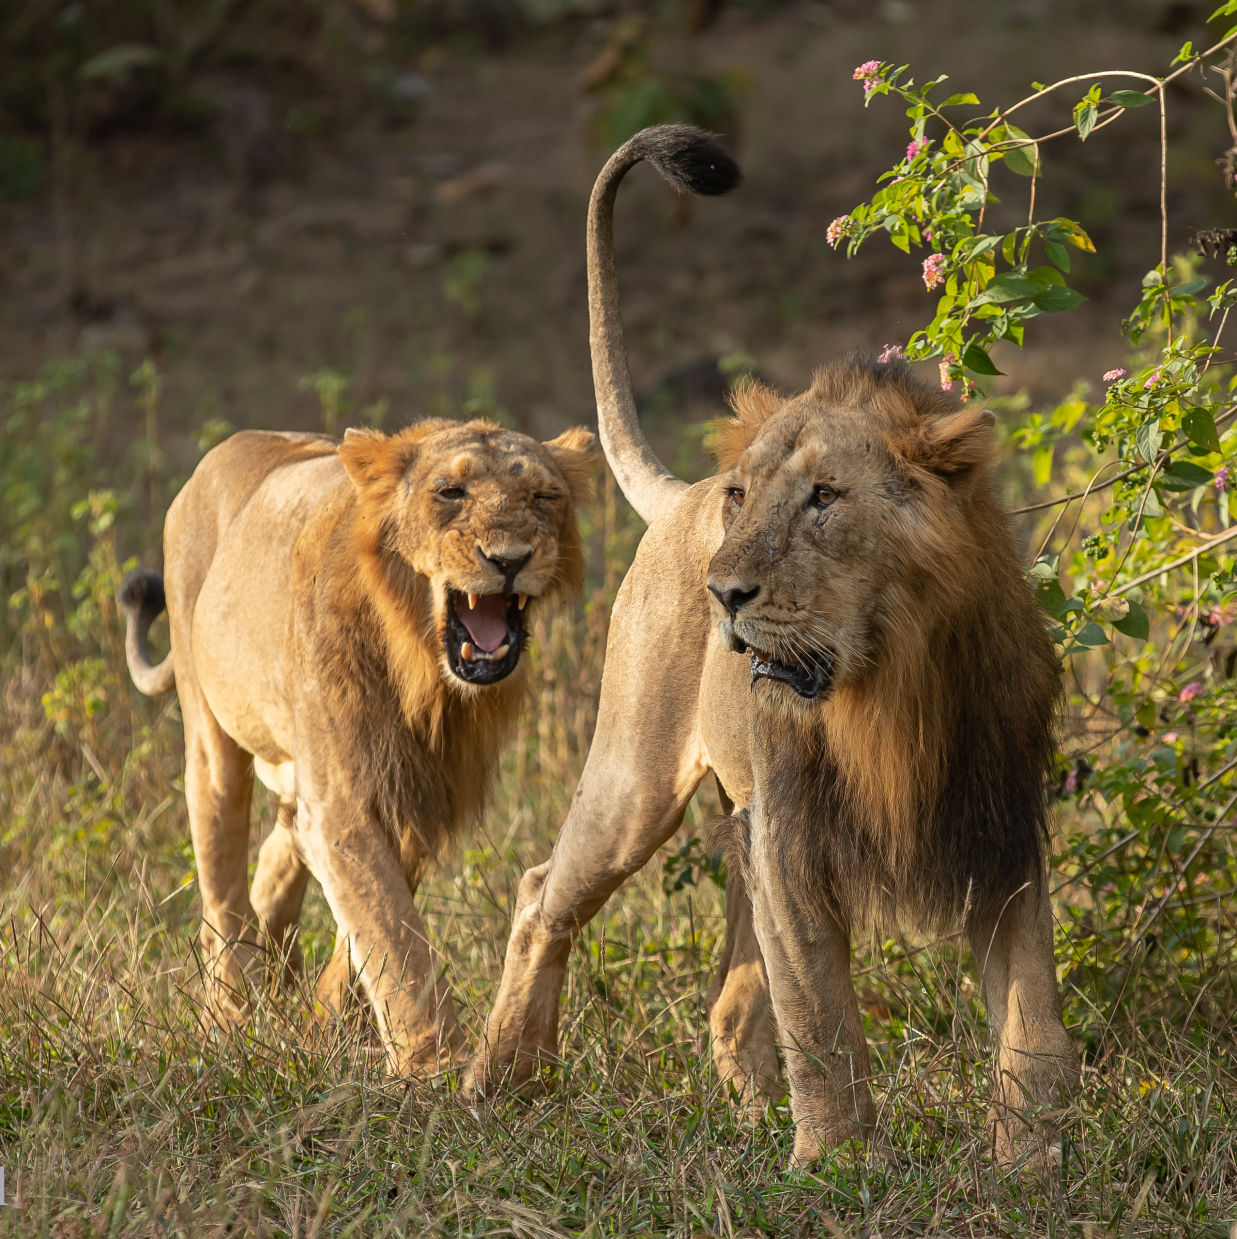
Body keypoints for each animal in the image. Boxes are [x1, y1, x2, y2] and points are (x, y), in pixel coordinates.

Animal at [123, 416, 597, 1075]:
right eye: (451, 493)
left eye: (544, 497)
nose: (510, 559)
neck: (425, 673)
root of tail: (227, 448)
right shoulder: (346, 802)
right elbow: (393, 932)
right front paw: (435, 1066)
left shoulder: (422, 792)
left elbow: (374, 924)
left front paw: (326, 1020)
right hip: (209, 732)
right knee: (221, 879)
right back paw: (232, 1011)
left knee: (282, 843)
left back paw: (273, 970)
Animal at [466, 128, 1075, 1169]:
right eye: (745, 498)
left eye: (825, 497)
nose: (724, 591)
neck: (892, 680)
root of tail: (677, 498)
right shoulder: (791, 838)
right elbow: (819, 1016)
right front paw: (835, 1164)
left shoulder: (995, 825)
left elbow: (1031, 1014)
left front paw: (1033, 1162)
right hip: (635, 782)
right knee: (543, 892)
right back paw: (501, 1078)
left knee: (728, 993)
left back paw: (745, 1111)